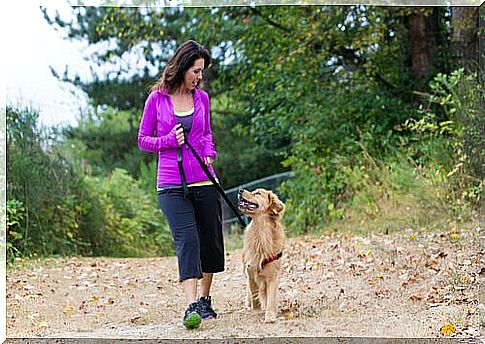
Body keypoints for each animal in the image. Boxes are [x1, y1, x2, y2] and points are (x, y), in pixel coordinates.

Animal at [237, 188, 286, 322]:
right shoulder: (250, 270)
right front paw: (256, 309)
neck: (261, 232)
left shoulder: (273, 275)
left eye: (258, 193)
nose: (240, 189)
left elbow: (271, 297)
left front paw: (270, 315)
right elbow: (254, 293)